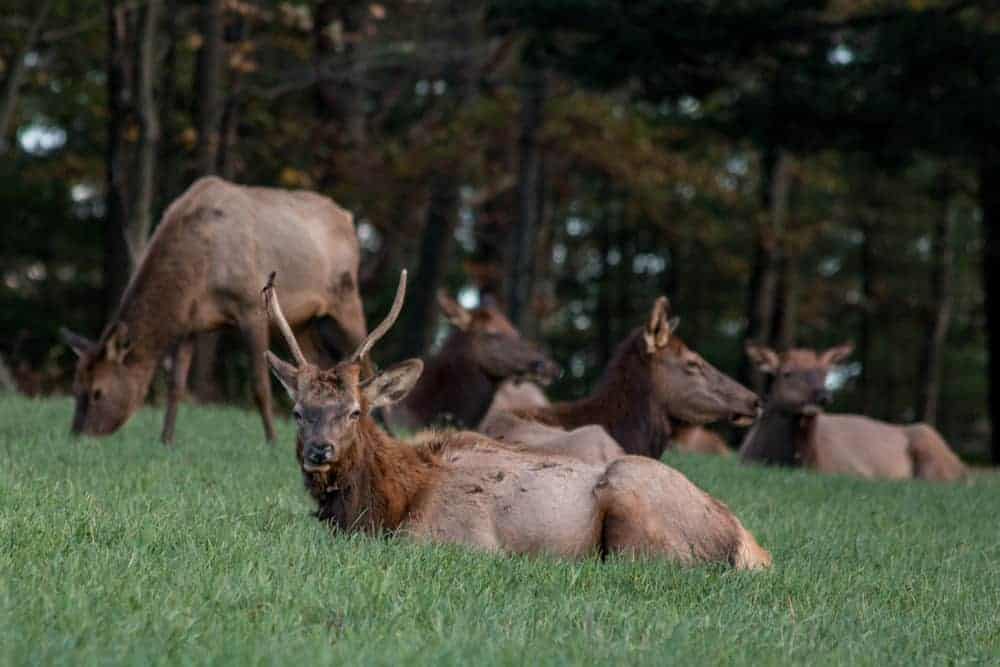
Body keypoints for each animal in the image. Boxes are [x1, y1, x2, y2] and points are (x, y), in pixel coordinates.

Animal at [58, 177, 366, 444]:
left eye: (98, 392)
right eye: (75, 387)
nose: (77, 436)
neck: (197, 278)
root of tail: (349, 218)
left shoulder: (250, 306)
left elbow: (259, 384)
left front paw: (271, 440)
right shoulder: (189, 325)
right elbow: (176, 387)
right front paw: (166, 440)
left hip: (346, 297)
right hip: (302, 321)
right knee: (320, 360)